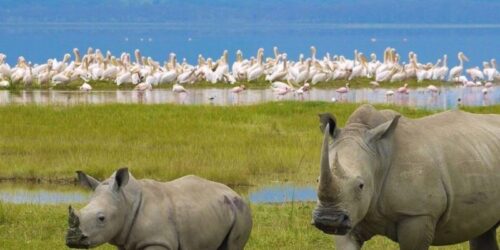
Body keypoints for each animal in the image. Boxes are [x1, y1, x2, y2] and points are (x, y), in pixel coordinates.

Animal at [66, 169, 252, 249]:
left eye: (101, 218)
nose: (72, 240)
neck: (126, 201)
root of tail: (234, 192)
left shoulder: (157, 240)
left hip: (241, 211)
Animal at [312, 104, 500, 249]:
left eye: (361, 185)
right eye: (317, 180)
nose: (328, 220)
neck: (378, 155)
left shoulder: (417, 214)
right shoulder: (351, 212)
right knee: (484, 229)